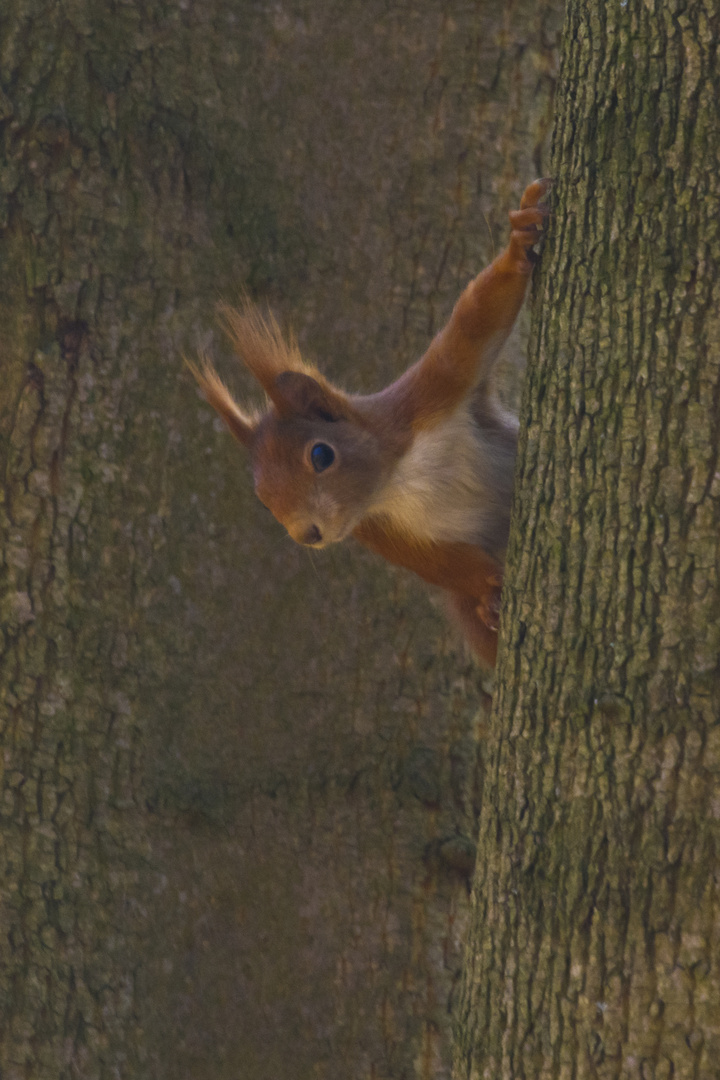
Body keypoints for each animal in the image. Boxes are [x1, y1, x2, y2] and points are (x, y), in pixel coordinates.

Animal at [188, 179, 548, 665]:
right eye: (263, 501)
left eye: (322, 455)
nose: (307, 535)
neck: (397, 476)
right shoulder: (376, 529)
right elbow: (436, 564)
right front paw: (486, 586)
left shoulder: (428, 395)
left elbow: (476, 319)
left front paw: (519, 240)